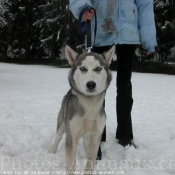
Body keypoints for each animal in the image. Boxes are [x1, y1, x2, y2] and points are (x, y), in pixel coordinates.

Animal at [47, 44, 115, 174]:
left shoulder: (96, 136)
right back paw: (52, 149)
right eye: (82, 68)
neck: (90, 107)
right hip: (63, 122)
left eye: (98, 69)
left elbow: (91, 160)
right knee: (58, 136)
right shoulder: (72, 136)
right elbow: (70, 165)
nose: (91, 84)